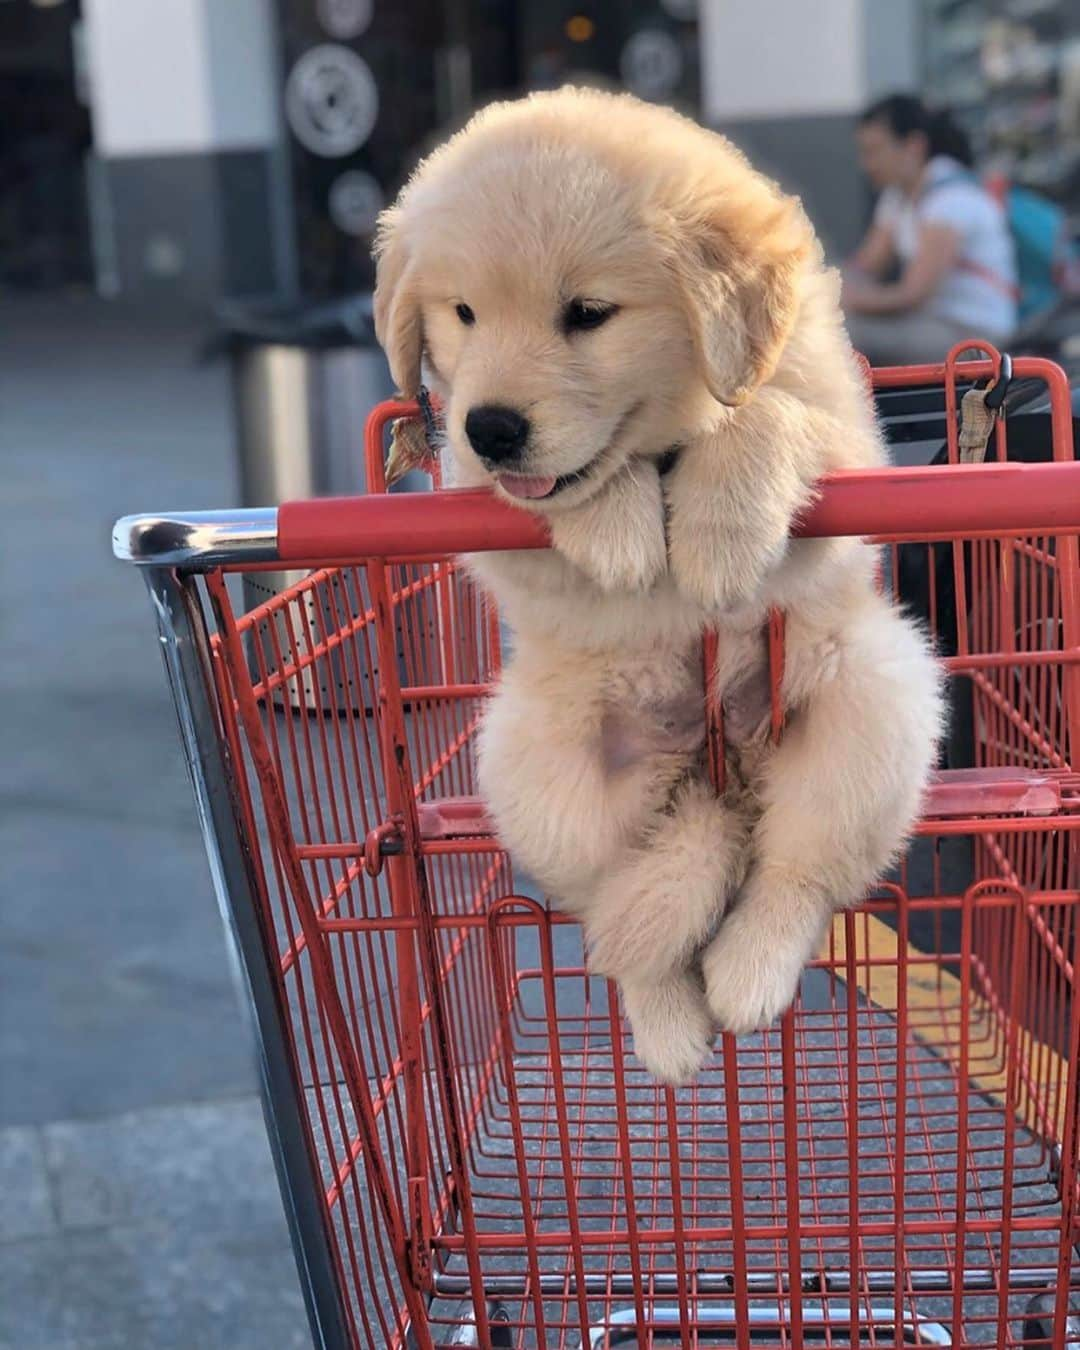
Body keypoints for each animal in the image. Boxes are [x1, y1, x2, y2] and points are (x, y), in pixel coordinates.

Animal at [372, 89, 945, 1080]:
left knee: (797, 874)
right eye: (463, 312)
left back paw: (748, 974)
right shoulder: (471, 497)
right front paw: (620, 526)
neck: (666, 435)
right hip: (537, 770)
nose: (494, 426)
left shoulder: (846, 444)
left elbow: (769, 415)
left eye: (588, 312)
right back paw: (673, 1028)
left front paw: (718, 531)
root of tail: (720, 774)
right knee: (620, 921)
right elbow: (548, 494)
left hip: (876, 701)